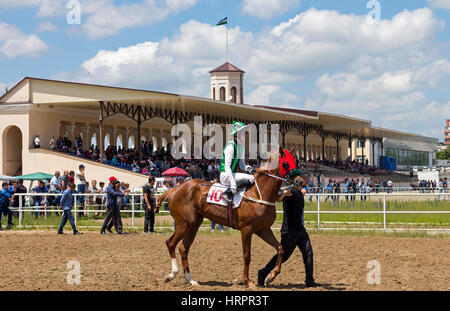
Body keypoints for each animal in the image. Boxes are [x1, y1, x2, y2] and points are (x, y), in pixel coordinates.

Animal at [158, 147, 296, 288]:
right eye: (286, 163)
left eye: (294, 160)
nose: (299, 181)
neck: (259, 194)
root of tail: (176, 188)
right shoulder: (246, 229)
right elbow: (247, 255)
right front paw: (248, 281)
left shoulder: (263, 229)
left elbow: (280, 249)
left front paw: (270, 277)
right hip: (183, 224)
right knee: (171, 243)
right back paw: (171, 275)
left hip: (194, 225)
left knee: (183, 248)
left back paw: (191, 280)